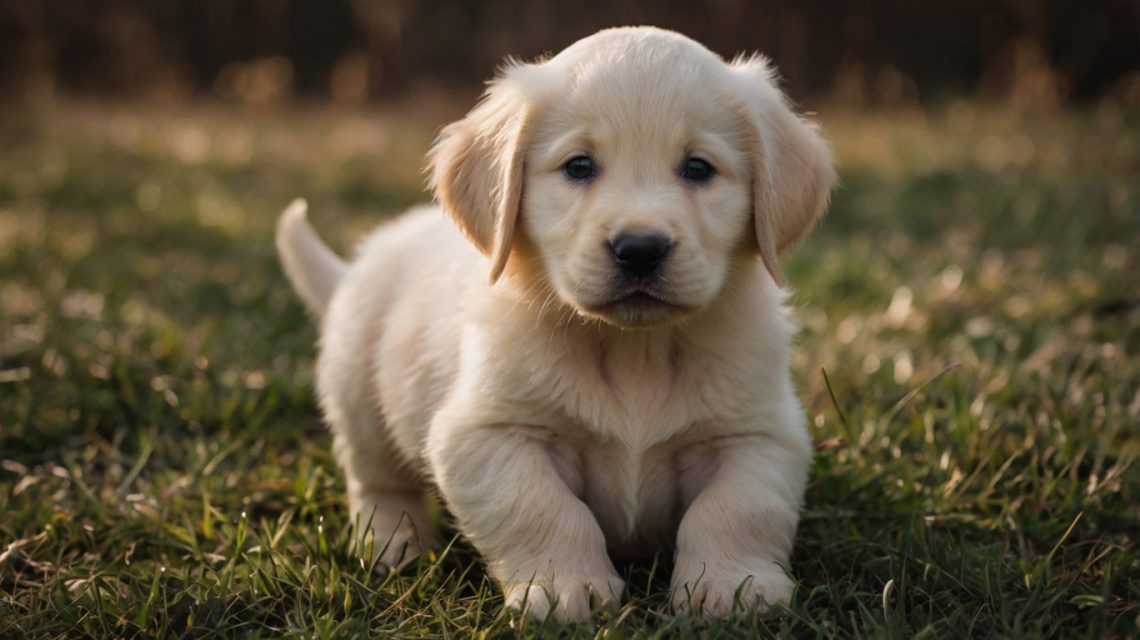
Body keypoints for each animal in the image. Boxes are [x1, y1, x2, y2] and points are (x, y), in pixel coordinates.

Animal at [272, 27, 834, 620]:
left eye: (699, 168)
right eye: (579, 166)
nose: (640, 249)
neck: (635, 350)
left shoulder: (758, 433)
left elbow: (736, 509)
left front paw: (734, 588)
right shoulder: (489, 432)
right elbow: (543, 507)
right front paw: (567, 587)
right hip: (358, 398)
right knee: (377, 484)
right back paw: (392, 544)